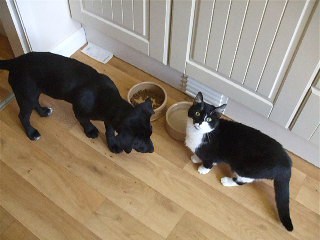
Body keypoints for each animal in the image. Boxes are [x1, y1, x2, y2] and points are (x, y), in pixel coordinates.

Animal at [0, 52, 155, 154]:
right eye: (138, 141)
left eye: (150, 134)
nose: (152, 149)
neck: (107, 98)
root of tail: (15, 62)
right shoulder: (79, 112)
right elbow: (85, 122)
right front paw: (91, 131)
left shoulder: (110, 118)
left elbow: (110, 131)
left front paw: (113, 145)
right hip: (26, 94)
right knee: (23, 116)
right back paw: (32, 133)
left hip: (34, 91)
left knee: (35, 103)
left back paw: (44, 112)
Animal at [185, 91, 292, 231]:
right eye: (197, 113)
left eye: (208, 119)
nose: (199, 123)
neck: (201, 134)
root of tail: (287, 164)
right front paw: (196, 157)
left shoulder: (212, 152)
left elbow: (209, 161)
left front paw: (203, 169)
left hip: (247, 167)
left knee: (244, 180)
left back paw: (227, 181)